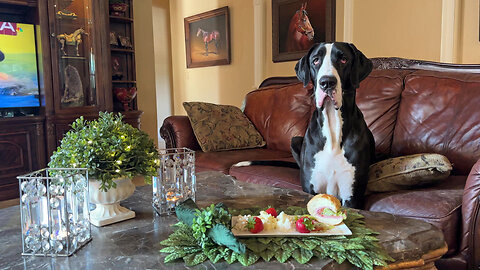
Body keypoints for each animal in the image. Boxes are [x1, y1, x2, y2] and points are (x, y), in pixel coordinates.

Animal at [290, 42, 376, 208]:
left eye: (343, 59)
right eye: (316, 60)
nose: (327, 82)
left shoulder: (351, 196)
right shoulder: (311, 190)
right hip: (294, 140)